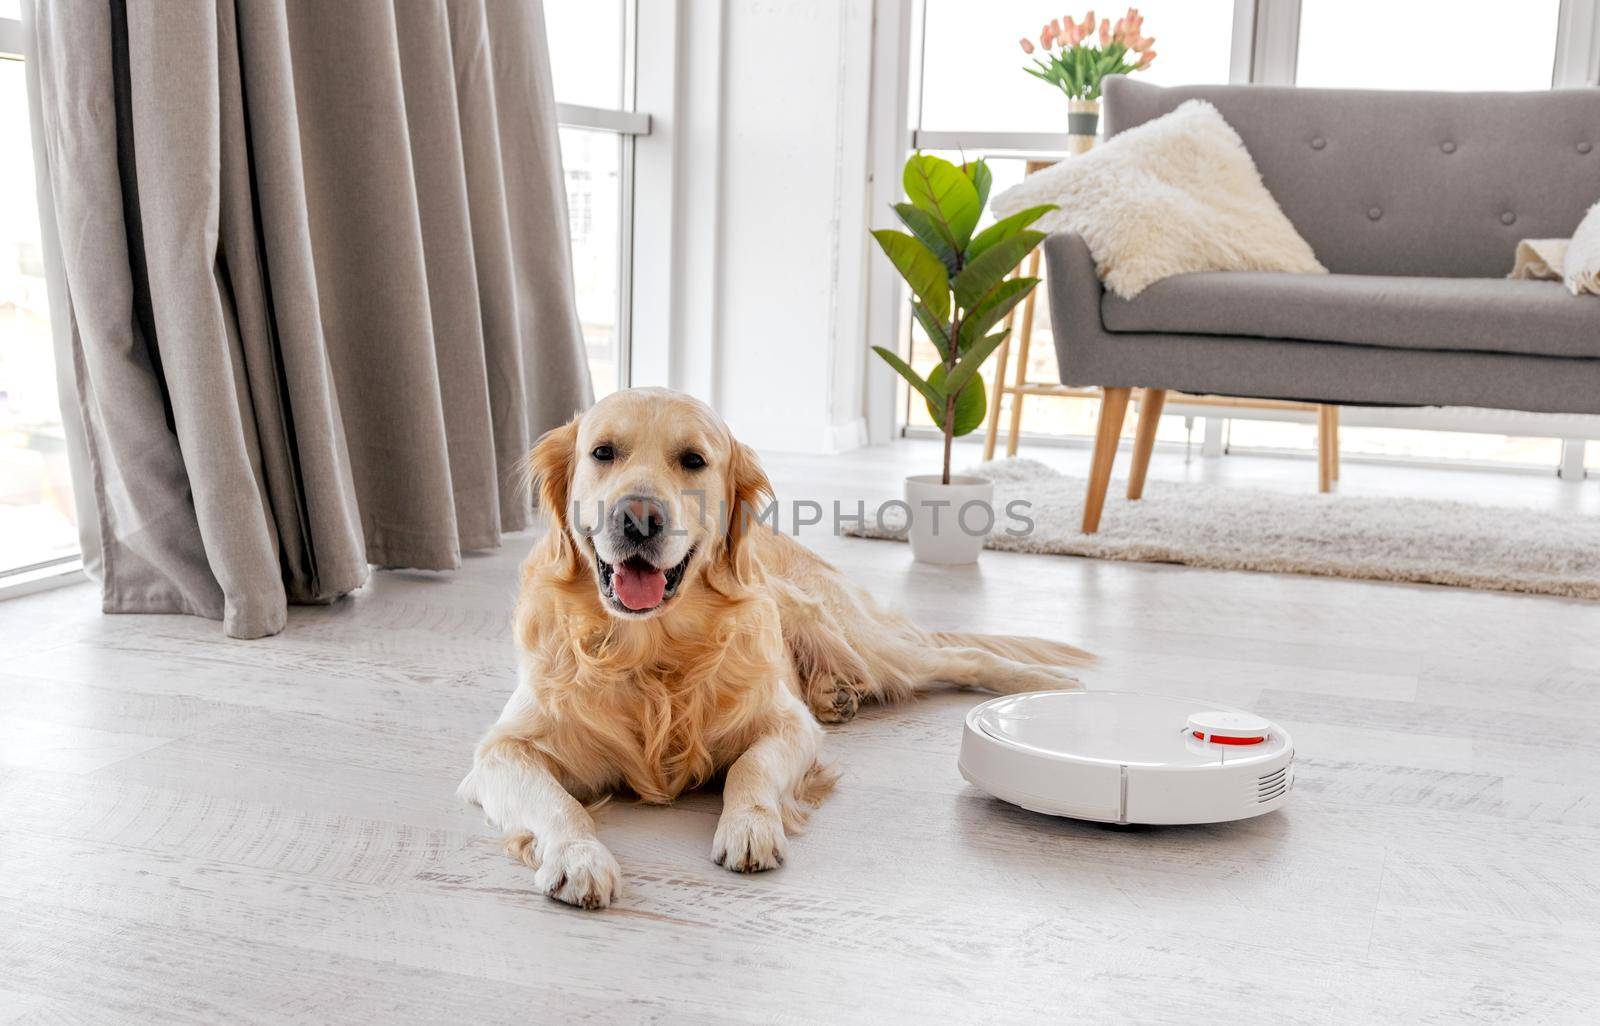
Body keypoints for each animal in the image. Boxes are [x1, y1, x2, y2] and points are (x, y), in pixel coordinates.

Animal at [457, 387, 1094, 909]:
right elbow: (555, 801)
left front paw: (749, 827)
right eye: (603, 452)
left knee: (962, 657)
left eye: (693, 459)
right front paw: (578, 858)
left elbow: (750, 768)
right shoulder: (500, 751)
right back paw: (838, 693)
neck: (653, 653)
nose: (638, 517)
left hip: (875, 646)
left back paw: (1050, 687)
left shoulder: (786, 724)